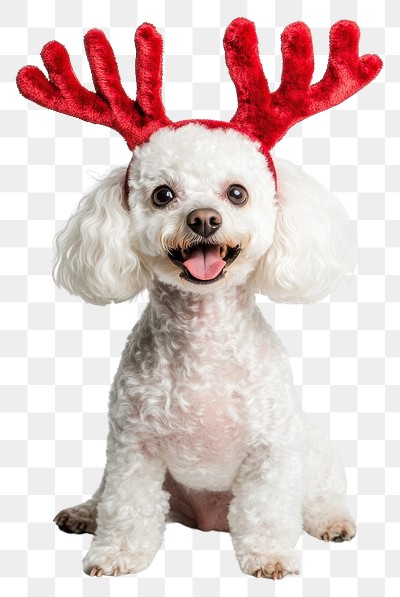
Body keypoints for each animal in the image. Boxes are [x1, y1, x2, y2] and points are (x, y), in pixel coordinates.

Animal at [52, 124, 356, 576]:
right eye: (163, 194)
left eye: (236, 193)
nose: (204, 219)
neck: (203, 338)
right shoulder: (133, 447)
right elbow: (126, 504)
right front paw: (117, 552)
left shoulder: (270, 449)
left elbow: (266, 510)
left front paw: (269, 555)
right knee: (104, 493)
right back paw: (84, 514)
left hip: (311, 448)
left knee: (322, 494)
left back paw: (333, 521)